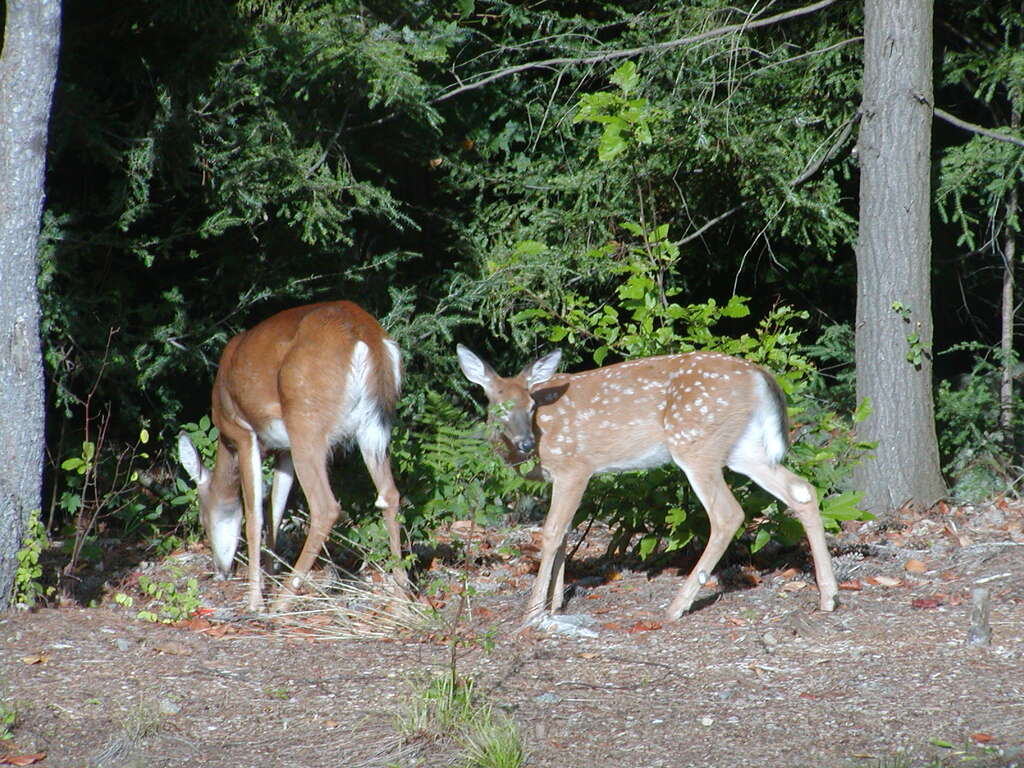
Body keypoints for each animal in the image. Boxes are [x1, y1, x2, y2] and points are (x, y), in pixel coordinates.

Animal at [177, 301, 408, 613]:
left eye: (203, 520)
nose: (220, 571)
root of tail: (364, 337)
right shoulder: (282, 450)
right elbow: (276, 509)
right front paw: (271, 571)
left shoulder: (243, 432)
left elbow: (254, 515)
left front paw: (255, 600)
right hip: (374, 426)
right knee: (390, 495)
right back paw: (401, 596)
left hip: (306, 423)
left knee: (325, 507)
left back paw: (283, 600)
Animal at [456, 344, 839, 625]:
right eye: (498, 406)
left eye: (531, 404)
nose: (524, 443)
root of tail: (761, 376)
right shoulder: (564, 477)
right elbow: (563, 535)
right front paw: (554, 605)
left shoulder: (574, 467)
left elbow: (551, 533)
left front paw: (533, 613)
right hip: (743, 449)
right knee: (802, 490)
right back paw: (829, 596)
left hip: (695, 442)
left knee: (727, 513)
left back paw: (677, 606)